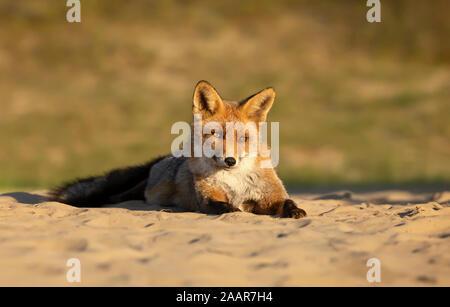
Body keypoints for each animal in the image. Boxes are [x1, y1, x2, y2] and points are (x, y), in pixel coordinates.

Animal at [51, 79, 308, 219]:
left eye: (243, 138)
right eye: (217, 135)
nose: (230, 161)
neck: (235, 180)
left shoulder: (270, 196)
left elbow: (288, 202)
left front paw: (296, 211)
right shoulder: (207, 197)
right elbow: (225, 206)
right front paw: (234, 210)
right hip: (148, 191)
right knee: (117, 195)